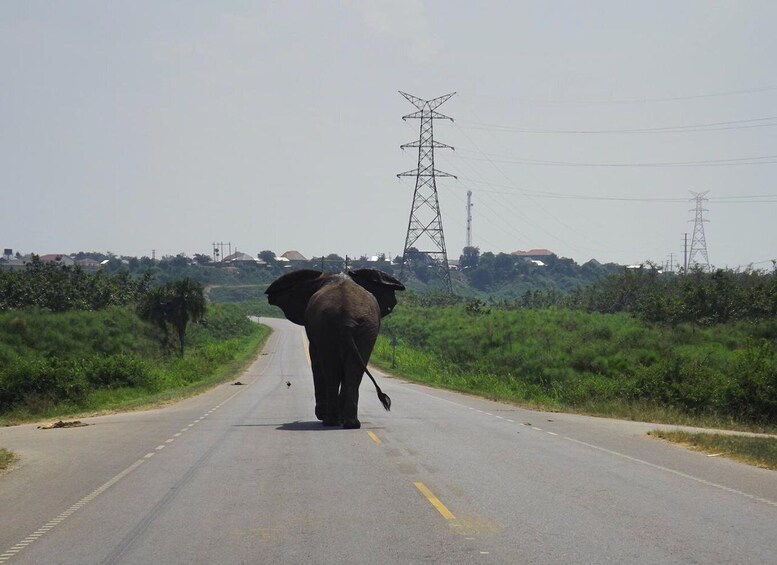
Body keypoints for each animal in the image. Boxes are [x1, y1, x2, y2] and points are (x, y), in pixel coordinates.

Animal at [266, 268, 404, 428]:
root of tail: (347, 319)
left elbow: (316, 360)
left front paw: (322, 414)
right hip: (363, 329)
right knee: (352, 371)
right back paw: (349, 423)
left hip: (331, 328)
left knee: (332, 371)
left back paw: (331, 421)